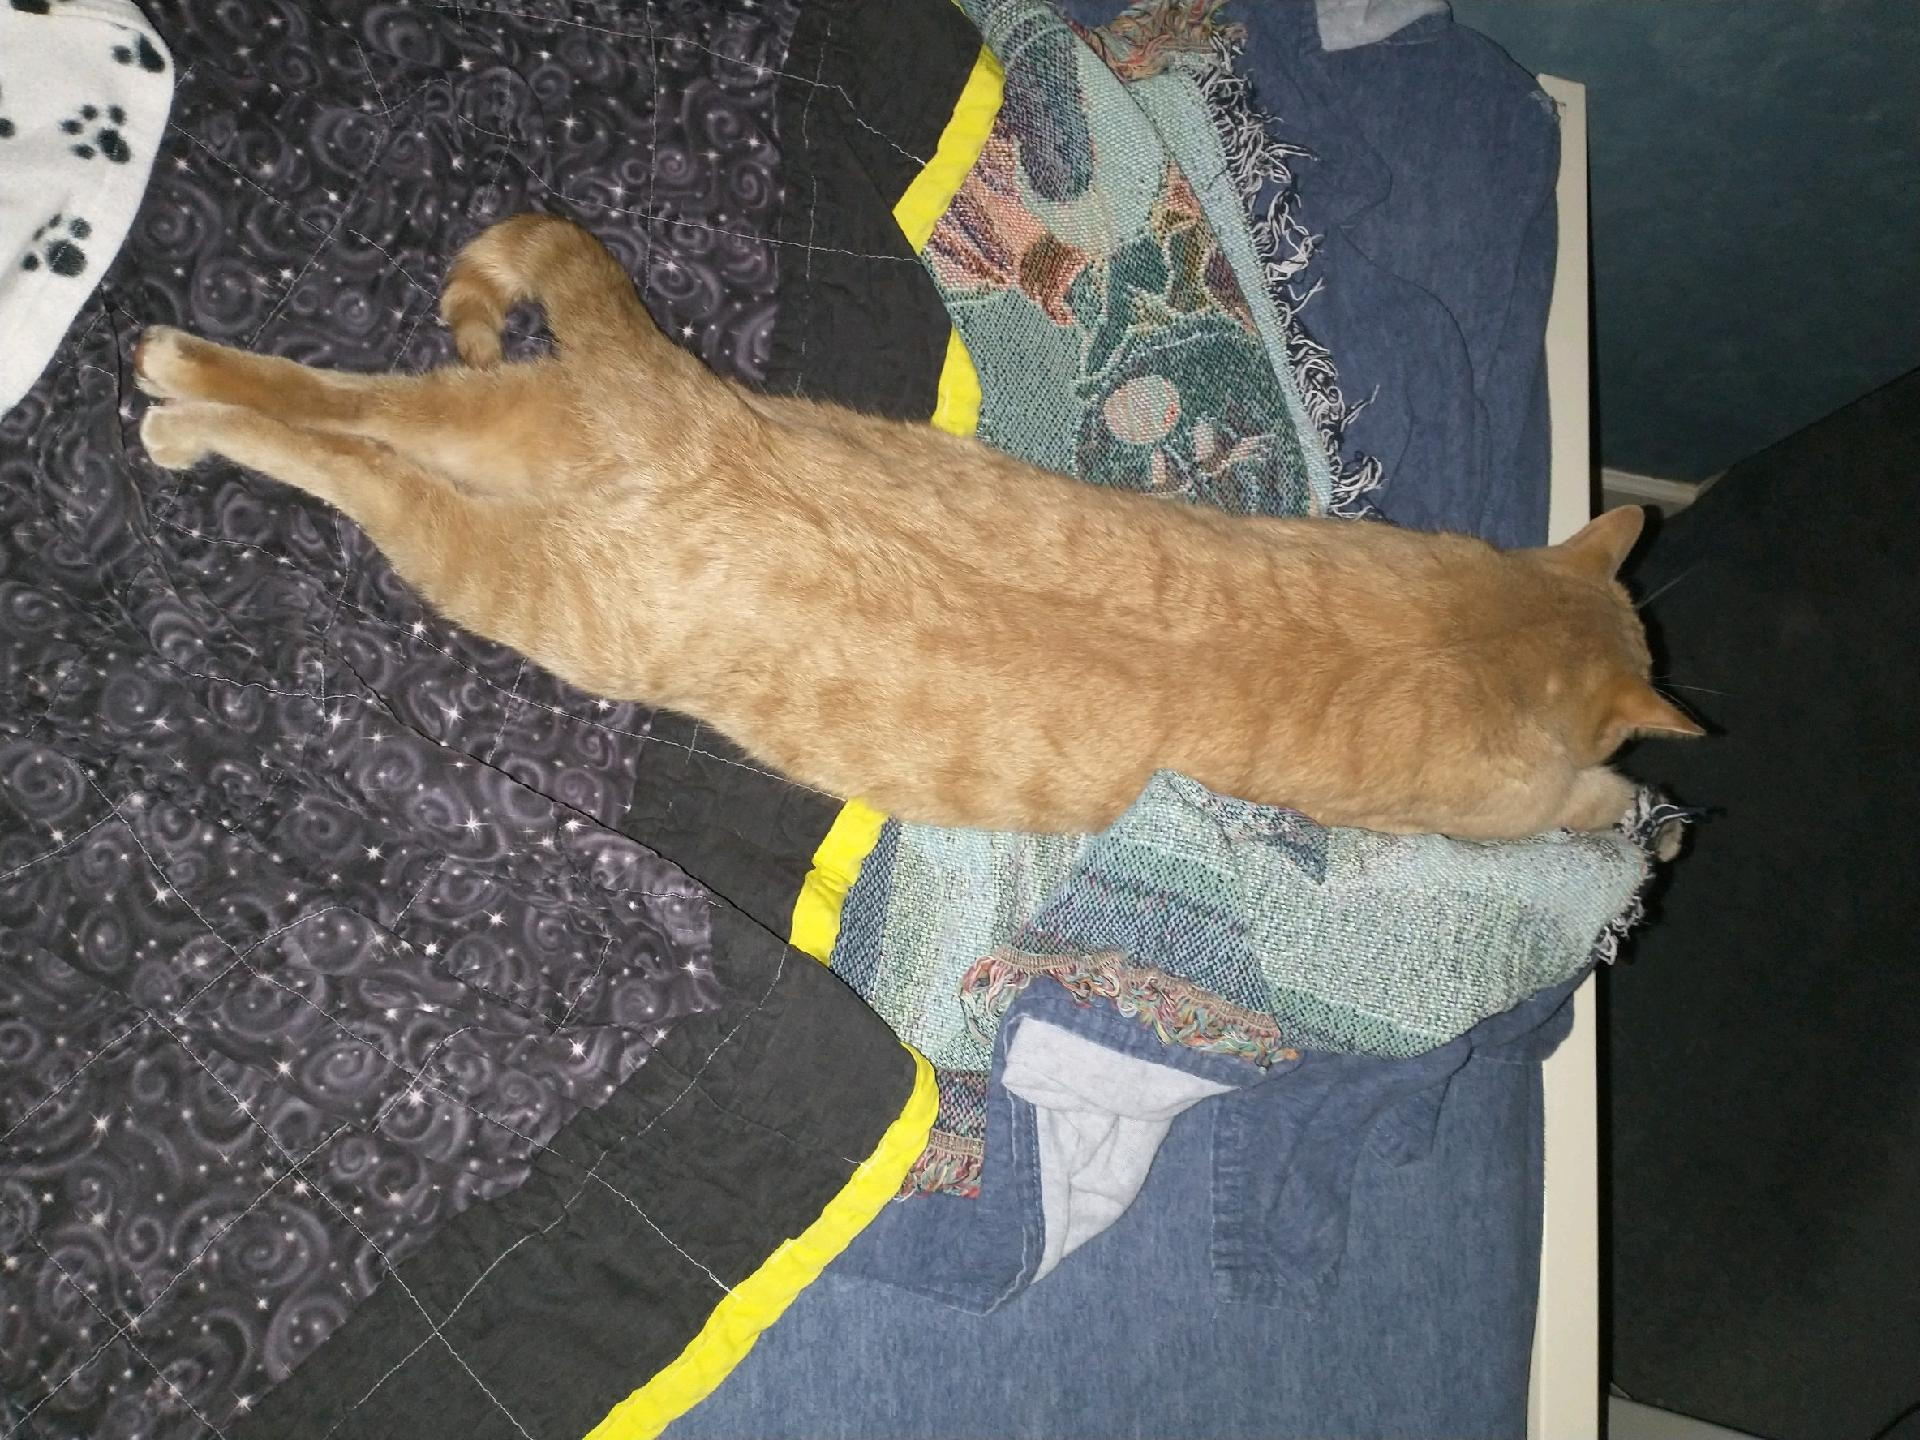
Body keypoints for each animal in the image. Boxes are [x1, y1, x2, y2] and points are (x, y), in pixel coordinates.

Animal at [131, 216, 1697, 844]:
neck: (1484, 625)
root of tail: (690, 410)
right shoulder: (1496, 808)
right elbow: (1588, 800)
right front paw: (1637, 814)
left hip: (506, 423)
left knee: (349, 405)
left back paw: (178, 370)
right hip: (520, 584)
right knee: (358, 475)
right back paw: (193, 431)